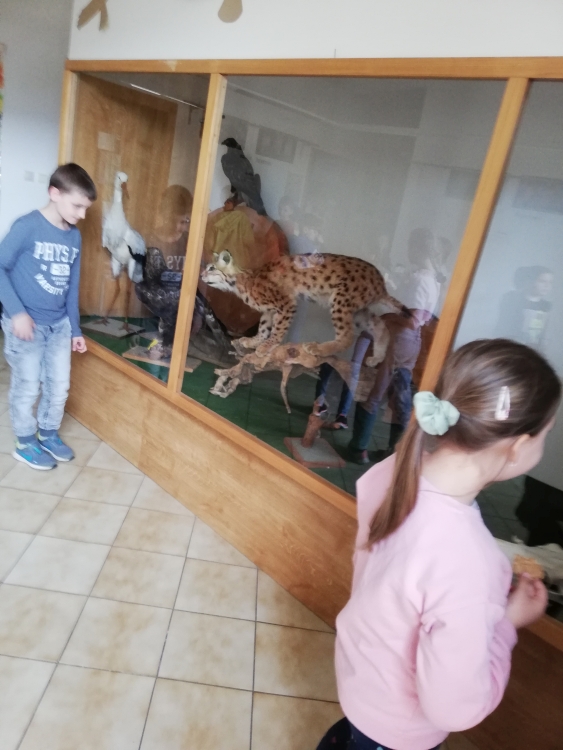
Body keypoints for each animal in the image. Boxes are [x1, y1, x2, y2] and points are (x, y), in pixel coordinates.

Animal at [201, 250, 409, 365]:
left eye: (211, 268)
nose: (201, 276)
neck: (242, 281)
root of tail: (381, 282)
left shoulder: (287, 304)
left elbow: (277, 329)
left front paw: (267, 346)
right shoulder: (269, 310)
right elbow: (264, 327)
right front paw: (254, 341)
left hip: (341, 301)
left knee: (348, 336)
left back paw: (319, 349)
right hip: (357, 310)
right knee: (380, 326)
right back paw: (377, 358)